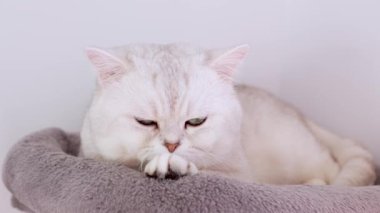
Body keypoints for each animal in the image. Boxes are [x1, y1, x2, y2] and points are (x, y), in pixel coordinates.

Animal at [79, 42, 374, 185]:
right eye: (145, 122)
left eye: (196, 122)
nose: (172, 146)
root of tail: (297, 111)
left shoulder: (241, 175)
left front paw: (174, 168)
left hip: (299, 153)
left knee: (335, 170)